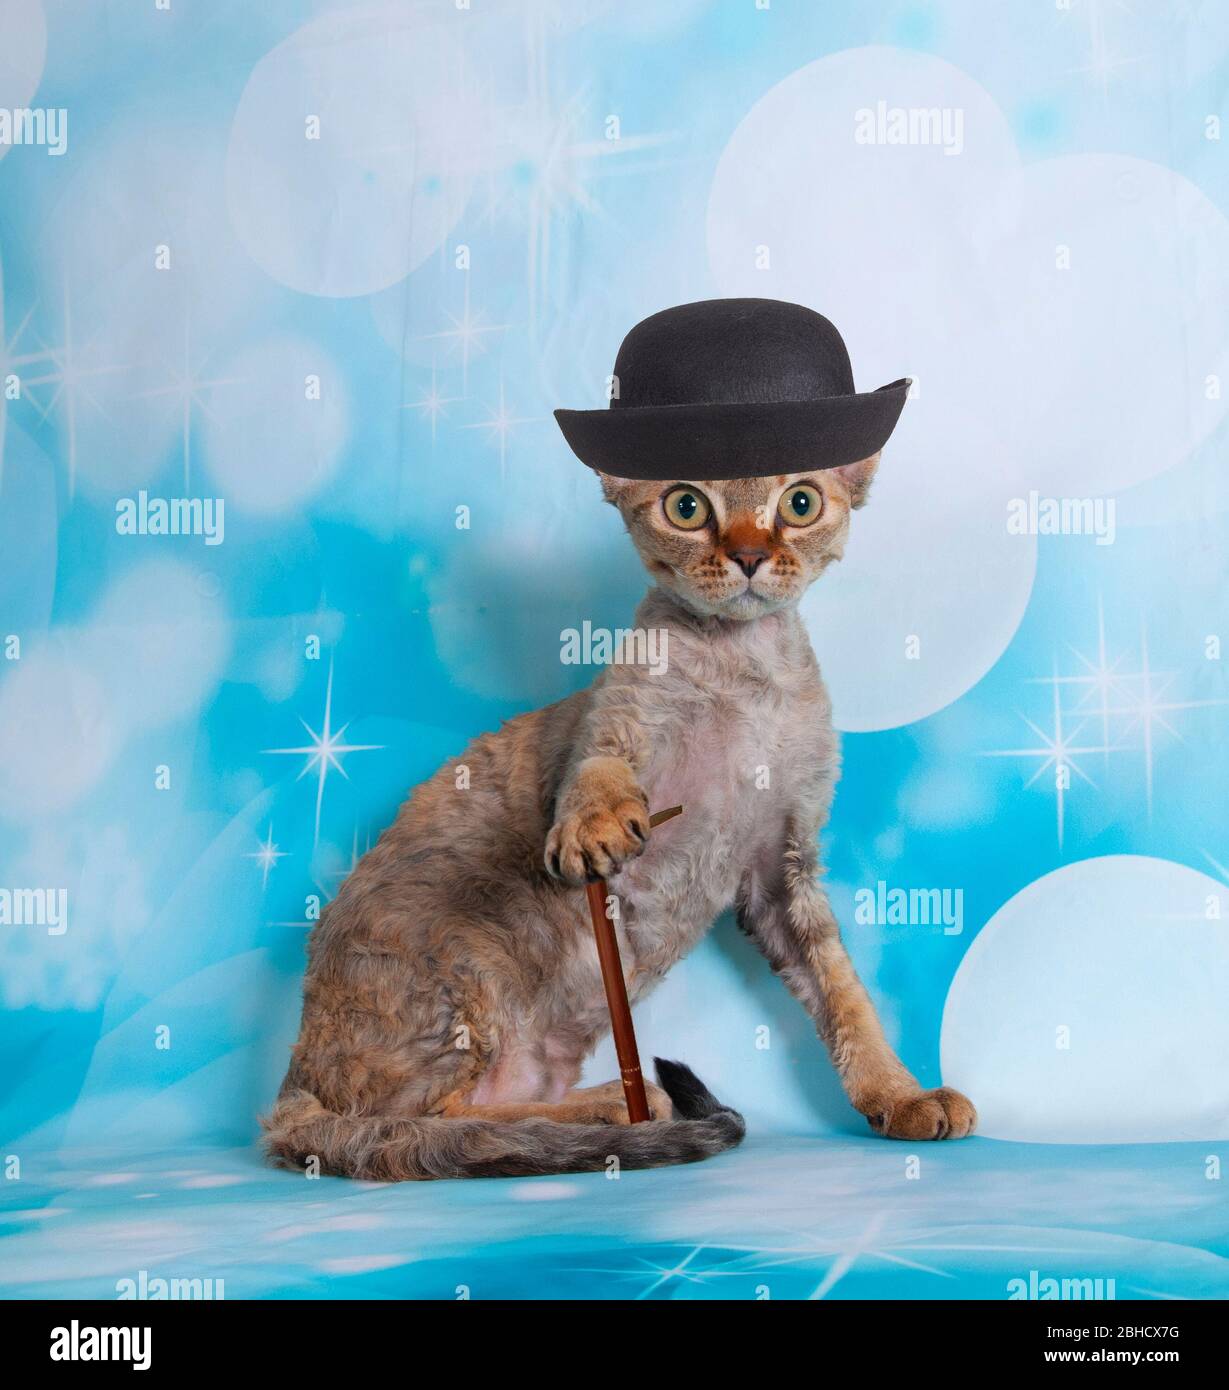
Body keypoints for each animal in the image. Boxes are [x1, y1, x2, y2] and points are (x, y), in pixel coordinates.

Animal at [264, 458, 973, 1184]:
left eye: (799, 504)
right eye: (687, 508)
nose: (748, 555)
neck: (744, 668)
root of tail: (290, 1087)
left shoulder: (783, 869)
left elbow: (842, 991)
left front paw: (899, 1093)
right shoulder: (612, 728)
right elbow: (597, 772)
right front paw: (595, 825)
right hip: (460, 963)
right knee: (432, 1125)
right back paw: (617, 1106)